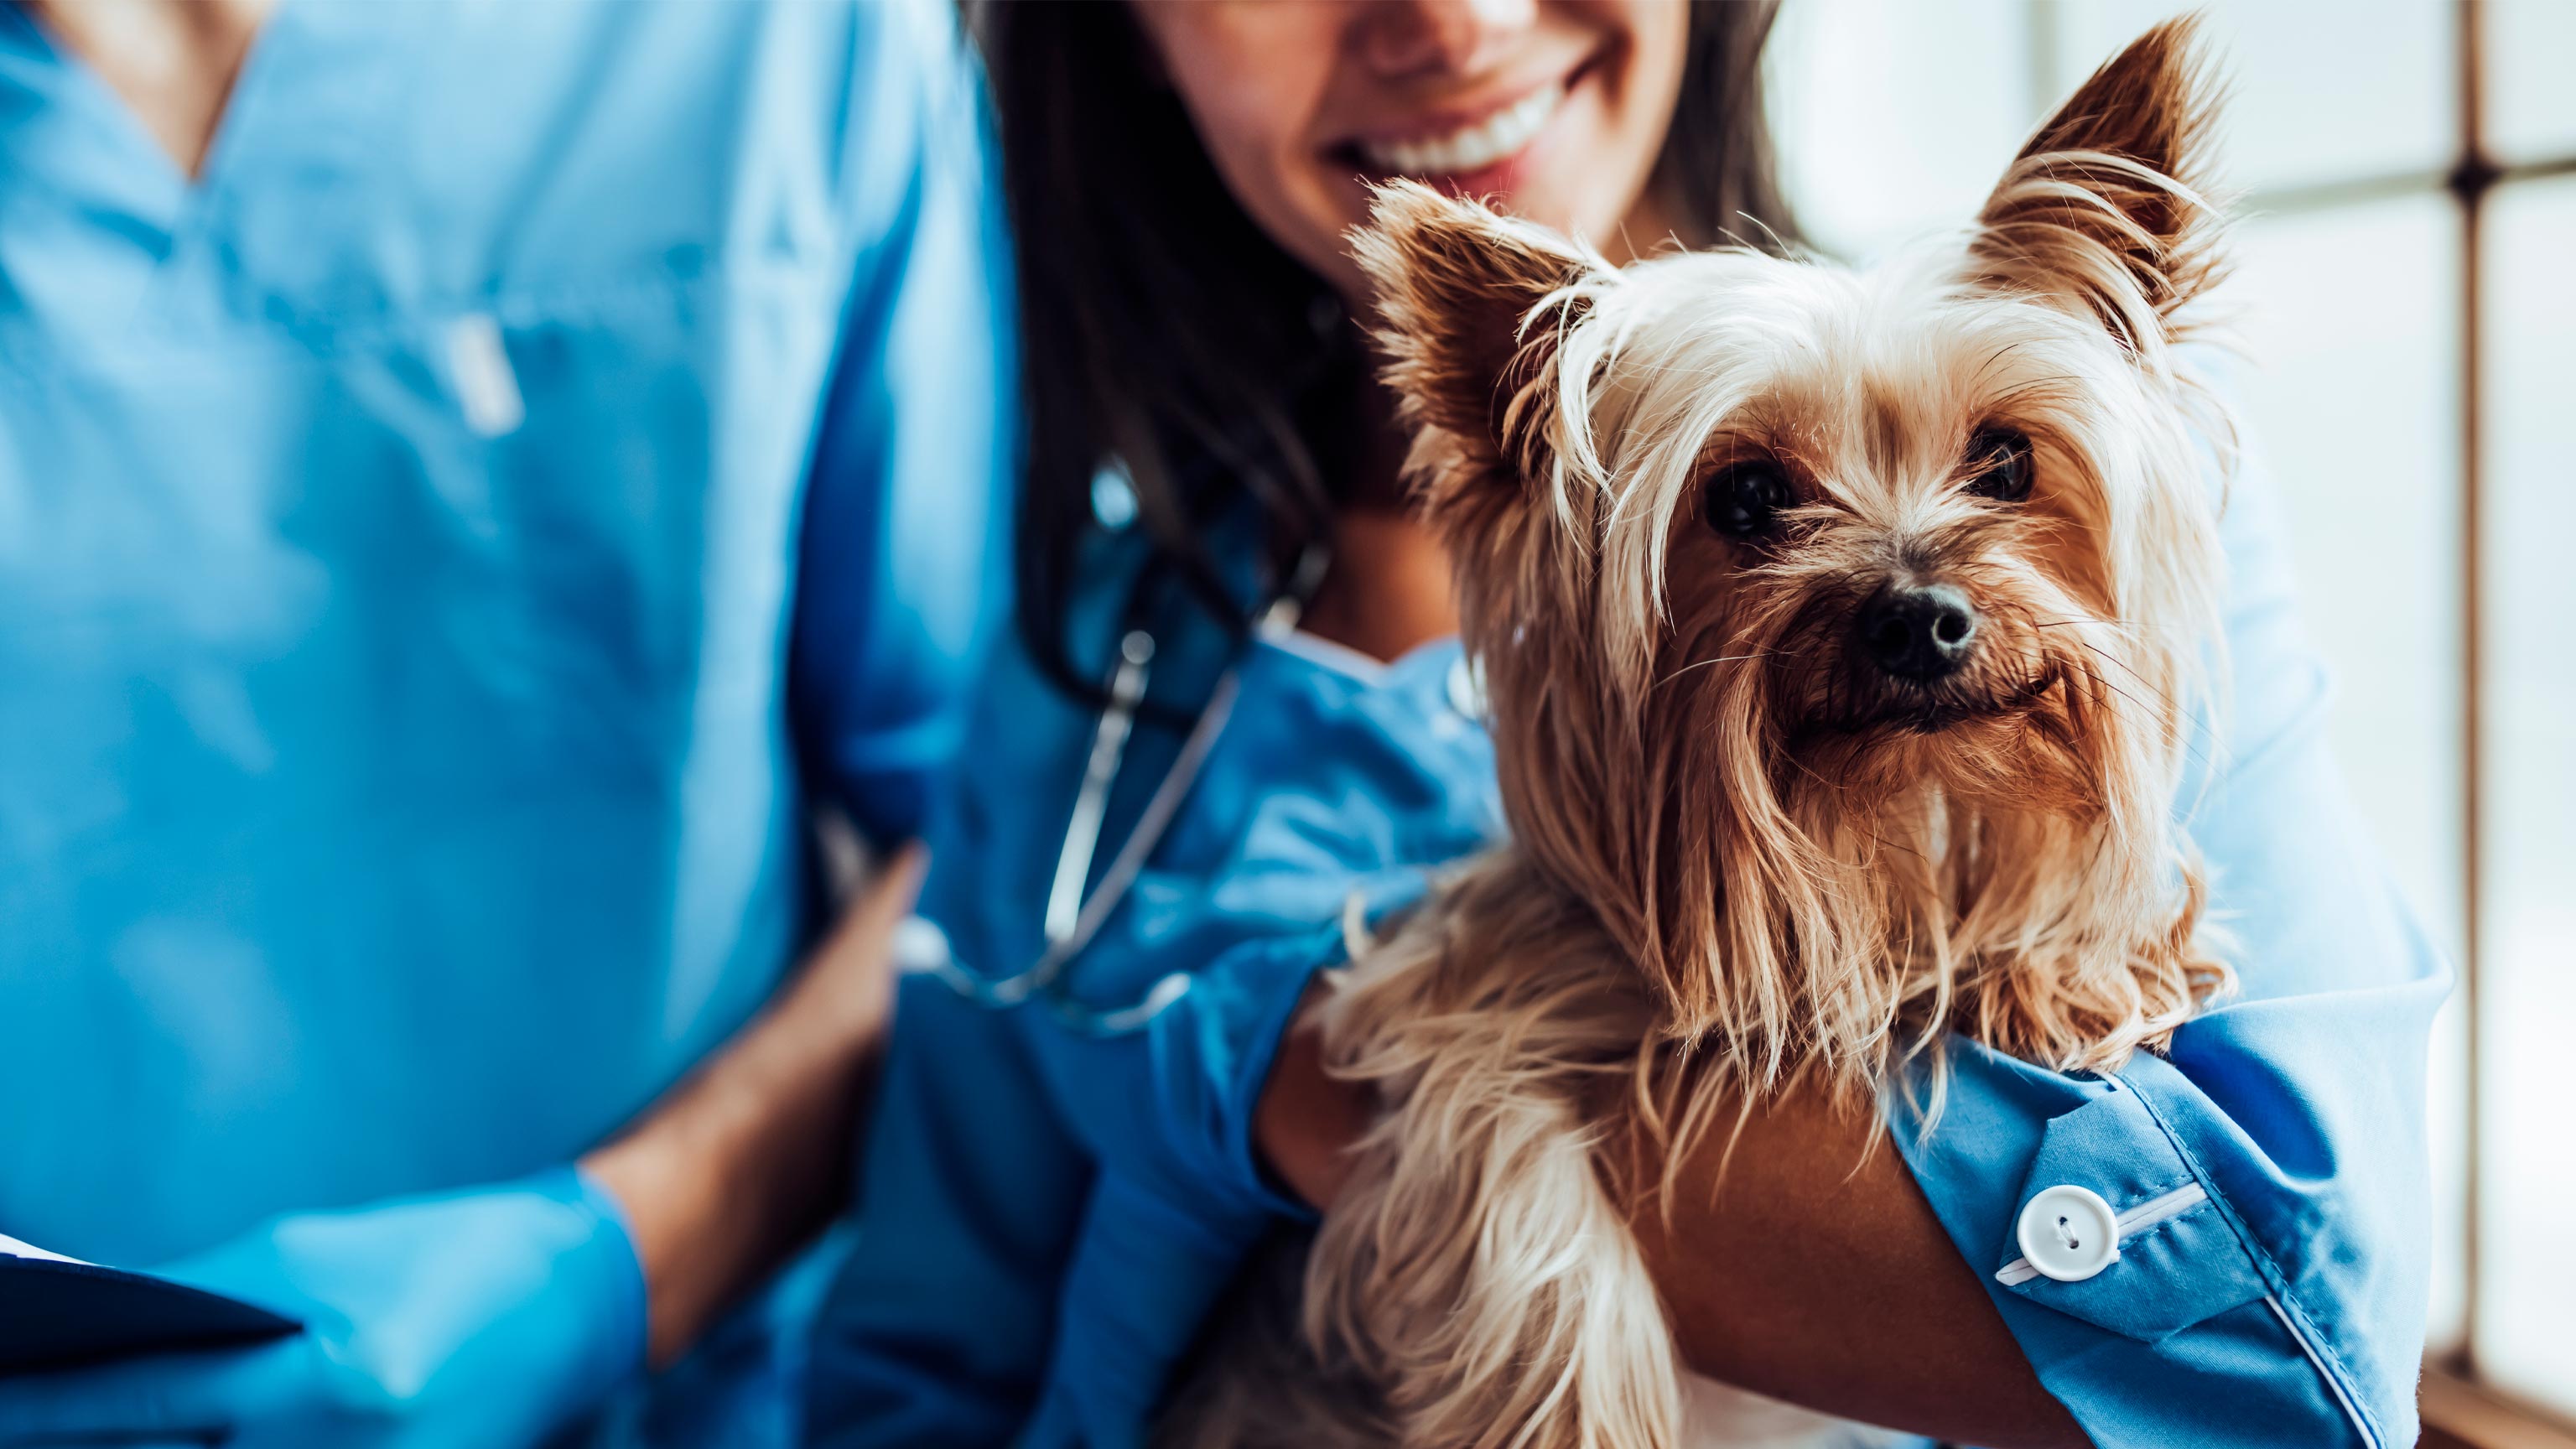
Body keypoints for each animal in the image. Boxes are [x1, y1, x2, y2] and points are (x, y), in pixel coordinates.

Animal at [1169, 19, 2236, 1443]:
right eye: (1744, 498)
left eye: (2006, 463)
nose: (1921, 619)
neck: (1864, 838)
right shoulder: (1447, 1013)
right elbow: (1512, 1194)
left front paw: (2068, 965)